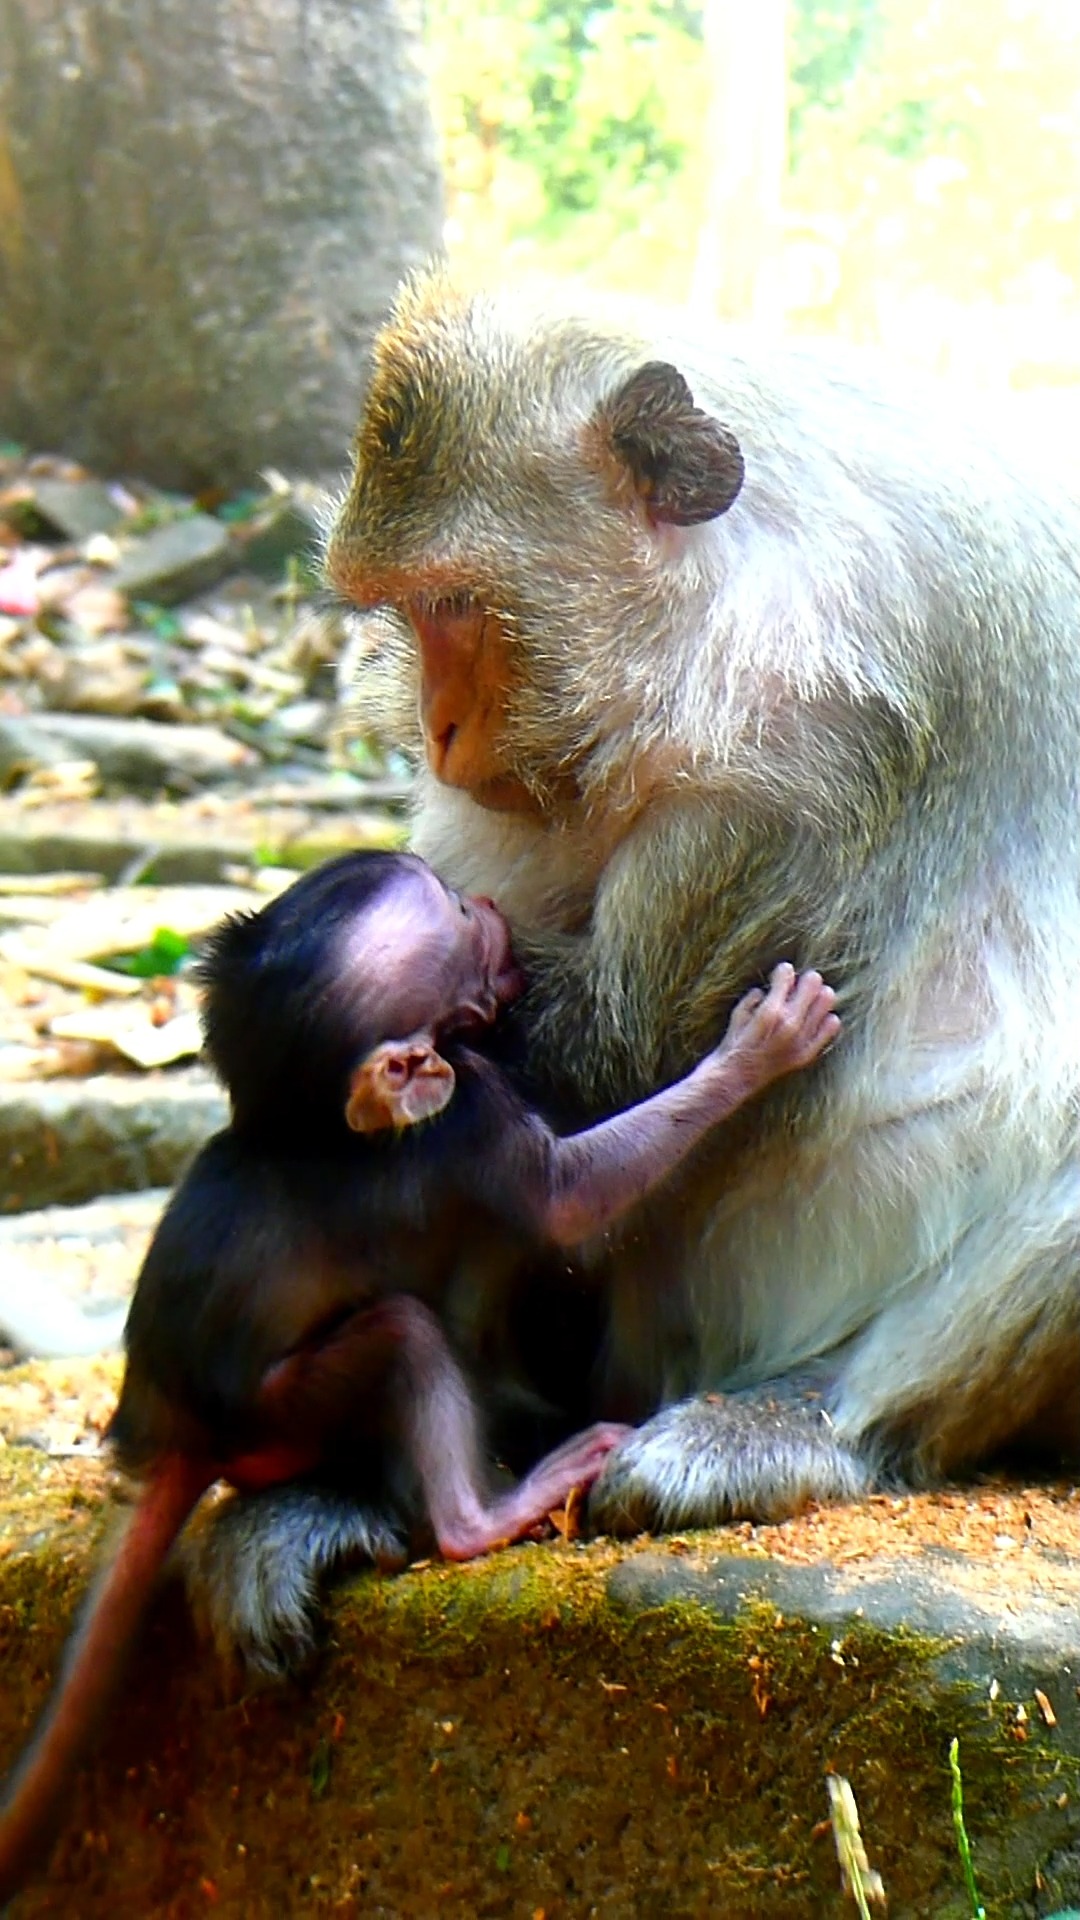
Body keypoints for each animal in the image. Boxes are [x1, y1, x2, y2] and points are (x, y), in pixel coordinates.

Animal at [0, 846, 839, 1900]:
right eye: (459, 922)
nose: (483, 900)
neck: (317, 1122)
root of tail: (177, 1427)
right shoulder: (468, 1113)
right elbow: (569, 1201)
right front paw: (758, 1050)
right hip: (283, 1414)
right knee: (404, 1339)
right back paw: (490, 1514)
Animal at [180, 262, 1080, 1670]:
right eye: (403, 617)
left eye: (454, 606)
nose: (437, 727)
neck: (738, 590)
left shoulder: (814, 758)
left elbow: (615, 1055)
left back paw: (798, 1425)